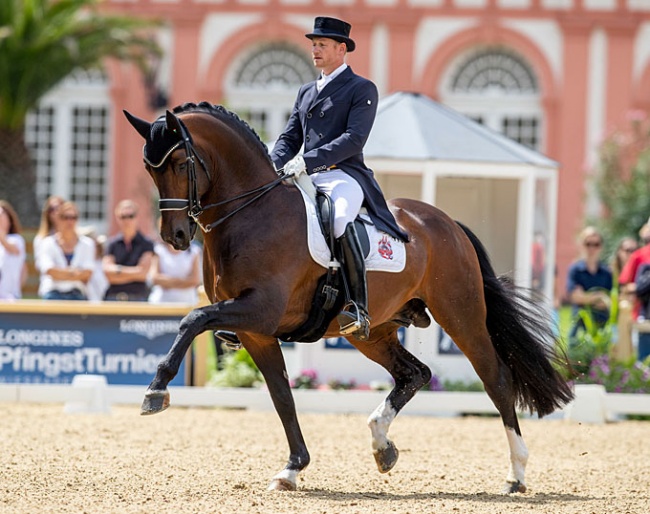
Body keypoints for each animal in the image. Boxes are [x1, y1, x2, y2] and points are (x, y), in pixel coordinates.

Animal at [124, 101, 568, 492]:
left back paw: (516, 474)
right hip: (373, 331)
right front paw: (292, 469)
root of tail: (447, 223)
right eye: (148, 169)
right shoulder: (257, 332)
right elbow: (282, 396)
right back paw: (382, 444)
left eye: (181, 164)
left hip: (461, 315)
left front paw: (155, 391)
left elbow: (192, 319)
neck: (251, 214)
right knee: (415, 373)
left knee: (496, 379)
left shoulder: (260, 310)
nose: (174, 237)